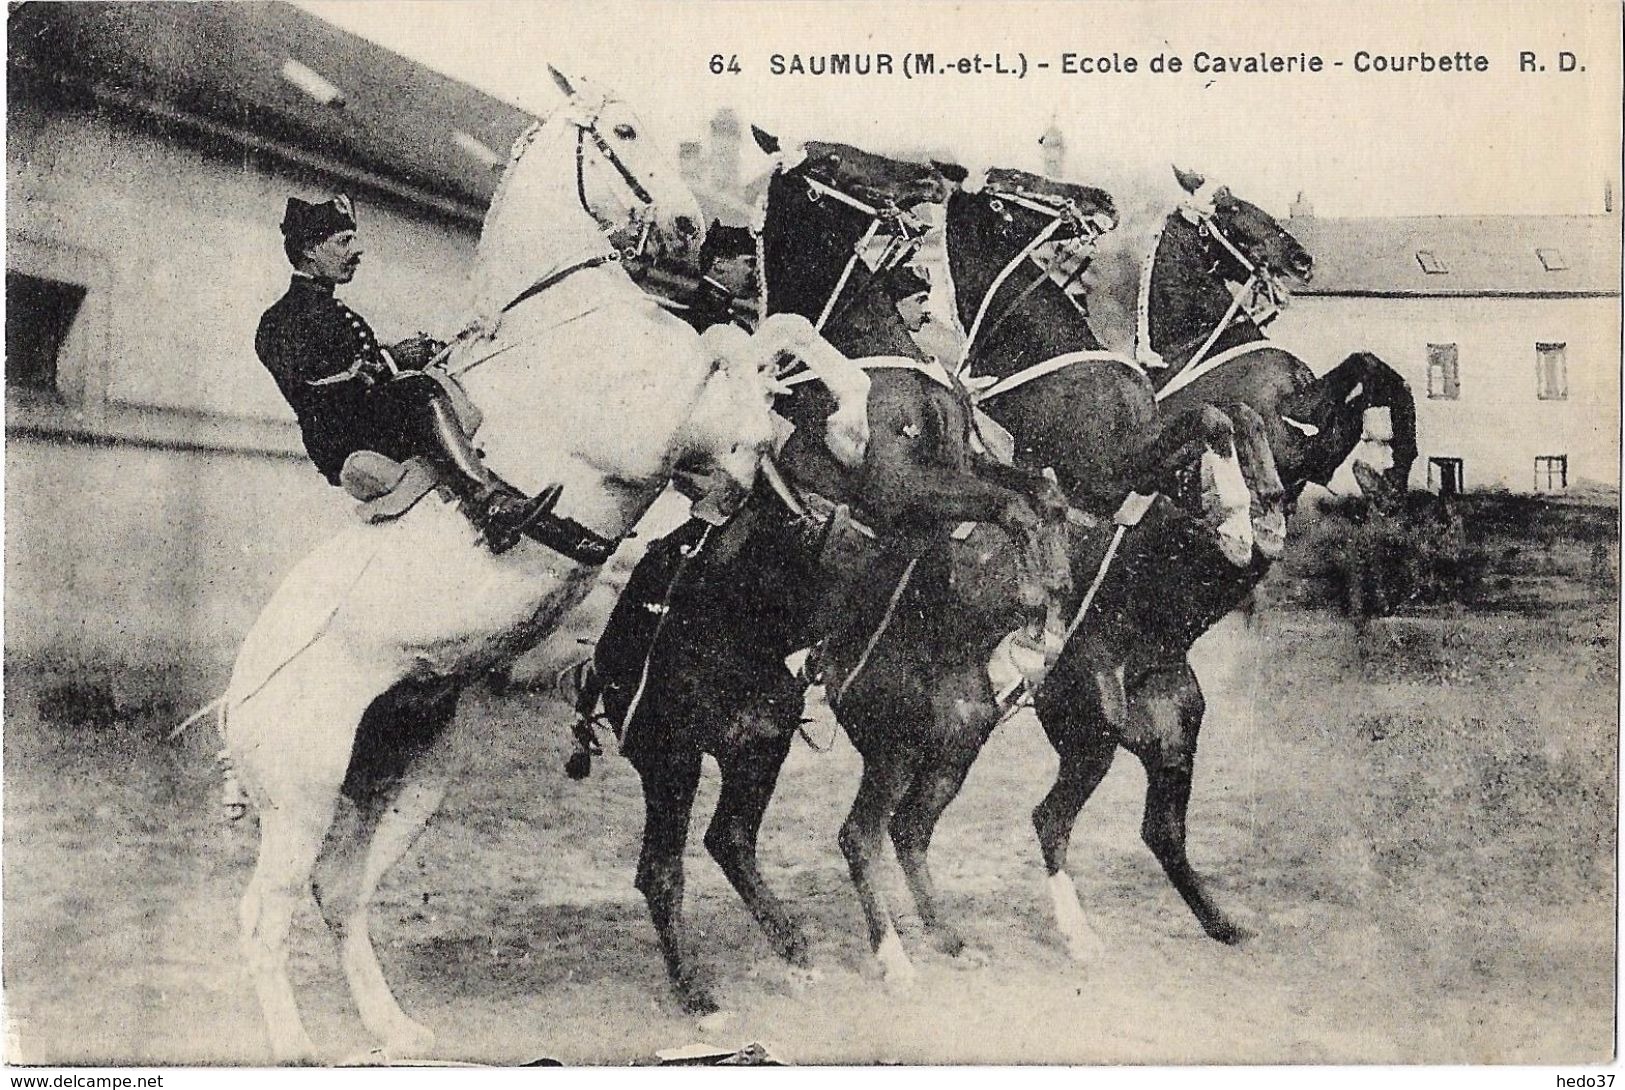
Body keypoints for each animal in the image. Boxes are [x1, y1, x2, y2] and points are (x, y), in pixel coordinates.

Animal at [222, 70, 871, 1065]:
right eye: (626, 131)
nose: (687, 225)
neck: (572, 318)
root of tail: (236, 692)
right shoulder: (654, 429)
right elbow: (739, 355)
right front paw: (787, 440)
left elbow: (783, 338)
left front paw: (843, 426)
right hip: (302, 791)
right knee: (266, 915)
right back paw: (298, 1046)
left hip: (403, 775)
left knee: (342, 893)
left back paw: (396, 1027)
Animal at [578, 132, 1072, 1020]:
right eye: (838, 162)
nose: (934, 174)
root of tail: (600, 666)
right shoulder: (898, 488)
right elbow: (1002, 498)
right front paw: (1033, 597)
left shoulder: (961, 466)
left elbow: (1033, 489)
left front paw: (1047, 586)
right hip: (674, 756)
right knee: (669, 866)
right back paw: (704, 990)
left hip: (767, 739)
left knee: (737, 839)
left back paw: (806, 948)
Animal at [819, 166, 1417, 987]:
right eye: (1233, 210)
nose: (1300, 260)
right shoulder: (1234, 437)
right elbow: (1267, 419)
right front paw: (1256, 511)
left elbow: (1368, 377)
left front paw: (1382, 468)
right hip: (1086, 732)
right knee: (1037, 821)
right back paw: (1069, 935)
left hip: (1169, 729)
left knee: (1152, 830)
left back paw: (1221, 924)